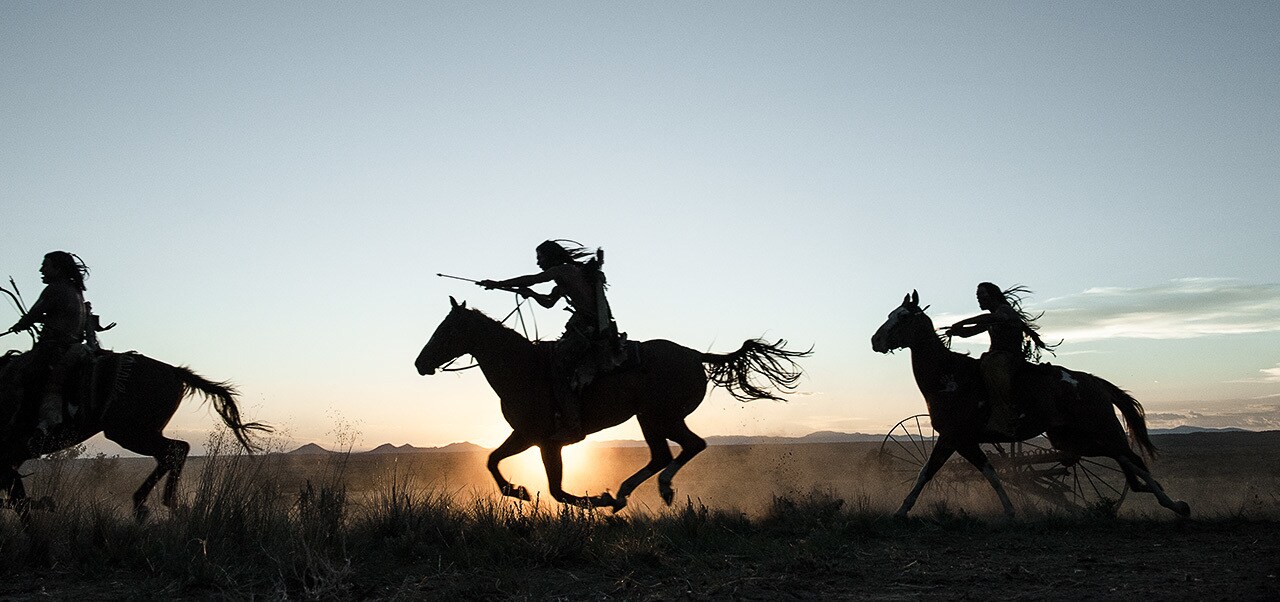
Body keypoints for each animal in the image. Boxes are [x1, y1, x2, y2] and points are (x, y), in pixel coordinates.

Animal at [0, 350, 270, 520]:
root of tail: (174, 371)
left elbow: (19, 503)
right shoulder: (11, 462)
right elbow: (18, 500)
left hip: (130, 432)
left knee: (175, 450)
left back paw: (155, 504)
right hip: (142, 433)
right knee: (172, 453)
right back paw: (158, 503)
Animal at [414, 298, 803, 509]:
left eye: (445, 330)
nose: (420, 363)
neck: (524, 368)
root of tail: (695, 355)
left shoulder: (545, 441)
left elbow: (556, 490)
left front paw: (596, 500)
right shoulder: (525, 435)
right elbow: (493, 460)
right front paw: (518, 491)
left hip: (661, 416)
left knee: (687, 447)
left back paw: (647, 490)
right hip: (652, 418)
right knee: (668, 453)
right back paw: (630, 492)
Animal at [870, 290, 1187, 517]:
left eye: (903, 317)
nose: (875, 340)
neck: (948, 376)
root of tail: (1093, 381)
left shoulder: (953, 437)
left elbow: (928, 471)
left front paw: (900, 511)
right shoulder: (963, 441)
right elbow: (989, 473)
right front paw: (1011, 510)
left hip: (1102, 427)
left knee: (1131, 457)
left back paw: (1173, 503)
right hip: (1069, 439)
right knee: (1118, 457)